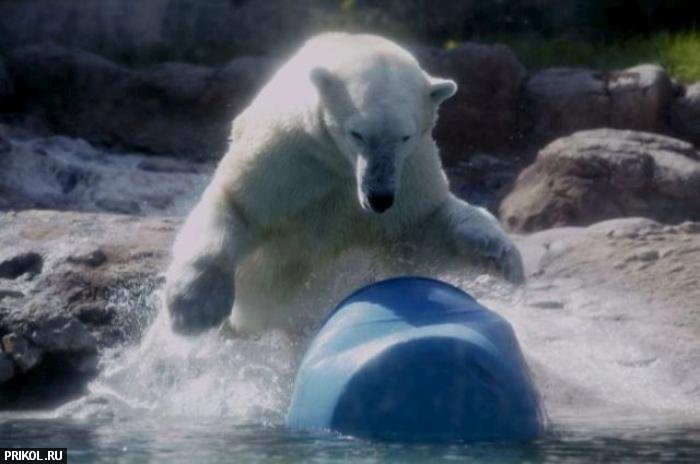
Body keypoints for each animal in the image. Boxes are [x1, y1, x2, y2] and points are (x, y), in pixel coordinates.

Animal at [165, 33, 525, 335]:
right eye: (357, 133)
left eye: (404, 136)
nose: (379, 198)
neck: (339, 163)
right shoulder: (286, 158)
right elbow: (237, 205)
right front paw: (194, 308)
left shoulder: (409, 172)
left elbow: (422, 228)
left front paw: (503, 256)